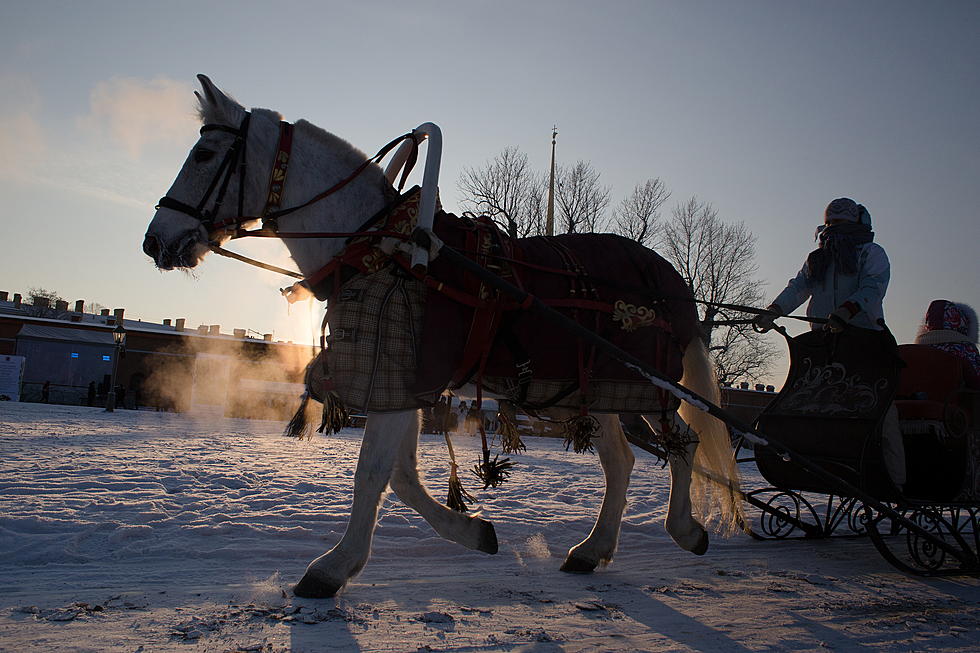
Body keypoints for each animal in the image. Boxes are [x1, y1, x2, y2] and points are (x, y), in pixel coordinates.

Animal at [144, 75, 744, 596]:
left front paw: (333, 567)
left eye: (203, 156)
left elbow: (374, 474)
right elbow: (403, 477)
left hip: (643, 385)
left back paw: (685, 530)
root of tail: (670, 279)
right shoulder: (401, 385)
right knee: (622, 461)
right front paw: (471, 531)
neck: (382, 248)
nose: (155, 240)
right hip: (594, 392)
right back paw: (593, 549)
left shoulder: (395, 381)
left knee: (683, 441)